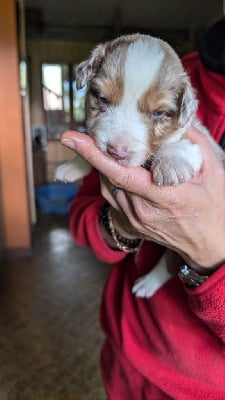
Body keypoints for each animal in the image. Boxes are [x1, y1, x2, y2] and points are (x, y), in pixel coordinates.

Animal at [55, 34, 224, 296]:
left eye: (158, 113)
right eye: (102, 99)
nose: (116, 151)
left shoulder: (201, 143)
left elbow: (178, 145)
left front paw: (170, 165)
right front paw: (73, 166)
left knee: (170, 263)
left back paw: (148, 282)